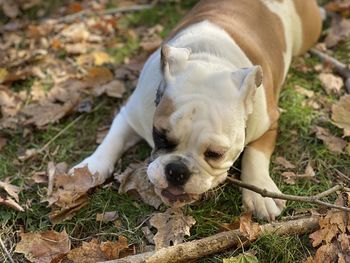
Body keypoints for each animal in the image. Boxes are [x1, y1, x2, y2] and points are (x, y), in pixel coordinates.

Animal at [72, 0, 322, 222]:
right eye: (160, 137)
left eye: (216, 154)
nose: (177, 170)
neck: (209, 62)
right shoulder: (131, 115)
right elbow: (112, 139)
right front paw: (90, 168)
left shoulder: (268, 123)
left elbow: (256, 153)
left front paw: (260, 192)